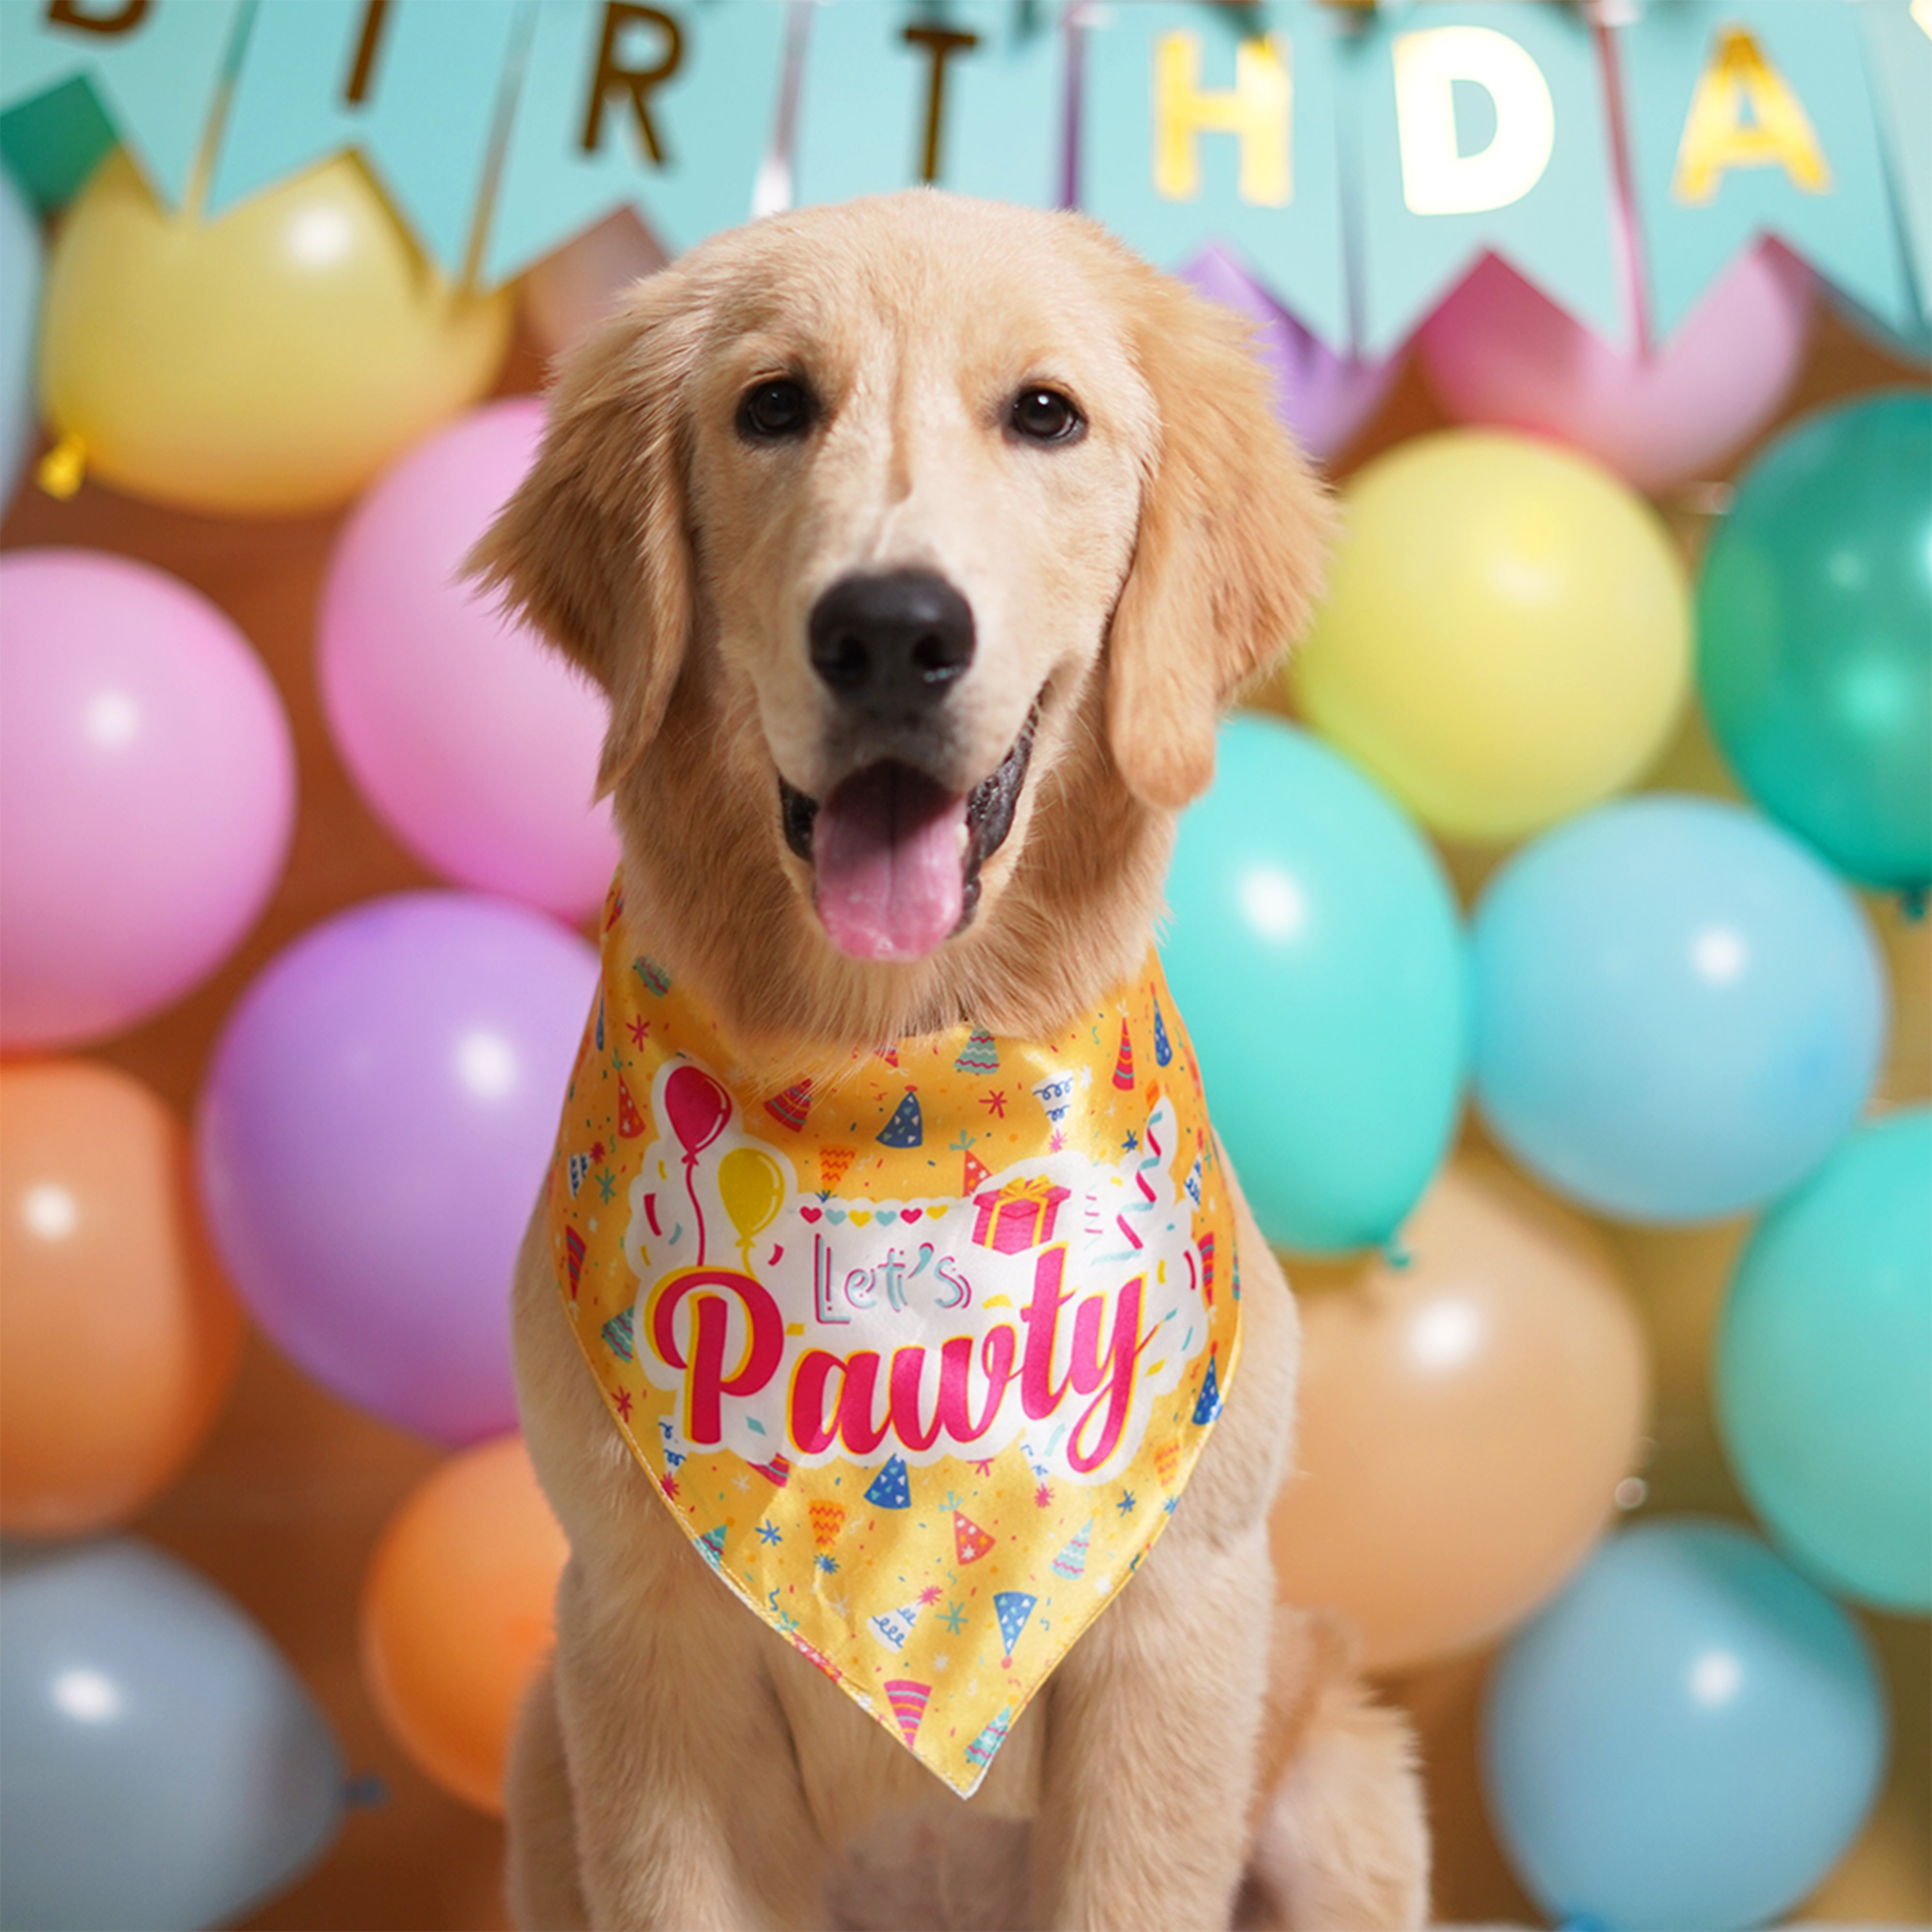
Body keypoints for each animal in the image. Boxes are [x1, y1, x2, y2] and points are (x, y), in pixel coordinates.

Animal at [475, 192, 1430, 1932]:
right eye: (773, 406)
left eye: (1045, 415)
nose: (891, 629)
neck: (894, 1075)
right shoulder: (648, 1655)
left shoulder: (1174, 1636)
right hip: (536, 1757)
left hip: (1345, 1786)